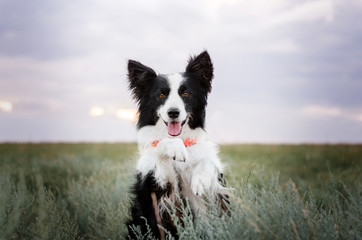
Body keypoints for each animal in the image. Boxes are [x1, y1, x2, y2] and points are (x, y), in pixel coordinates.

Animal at [126, 51, 225, 240]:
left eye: (186, 94)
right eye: (161, 95)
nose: (173, 113)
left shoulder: (213, 192)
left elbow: (207, 161)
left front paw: (199, 180)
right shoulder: (159, 184)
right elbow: (161, 145)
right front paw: (175, 148)